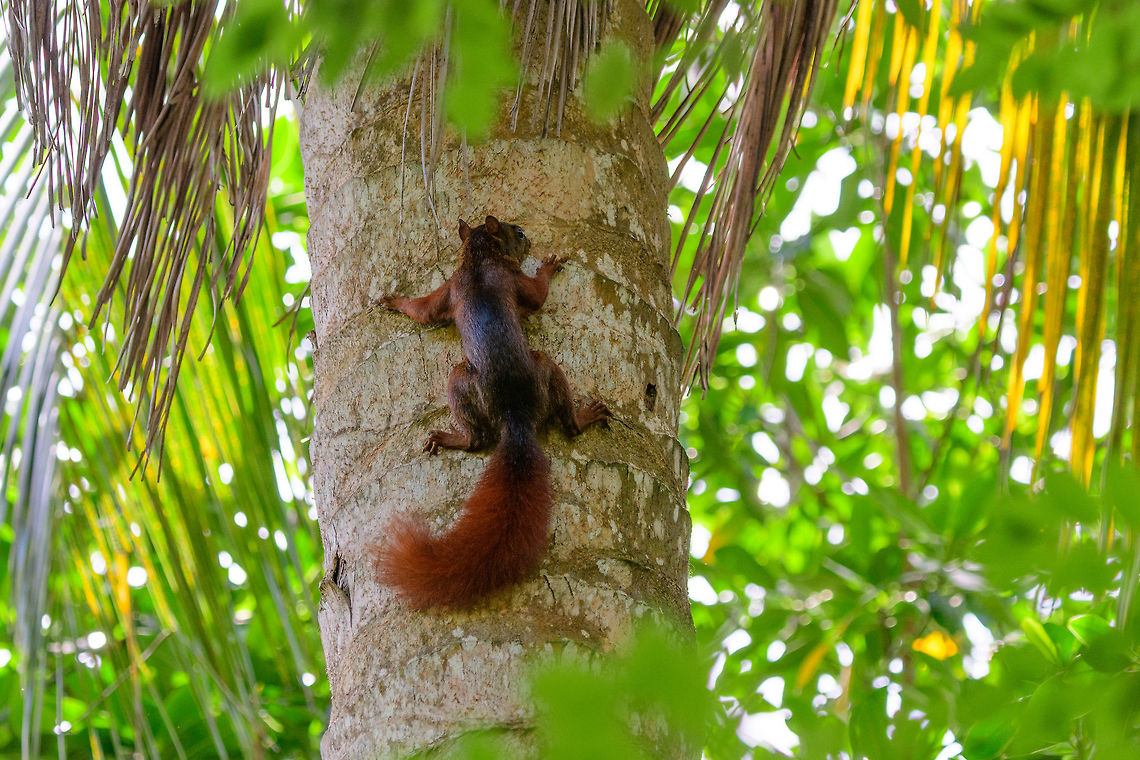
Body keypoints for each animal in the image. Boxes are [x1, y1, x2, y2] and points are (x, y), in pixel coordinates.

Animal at [375, 215, 611, 610]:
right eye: (518, 232)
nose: (529, 239)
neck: (480, 258)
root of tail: (515, 416)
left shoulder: (451, 285)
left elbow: (425, 309)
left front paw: (393, 300)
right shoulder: (493, 279)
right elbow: (536, 296)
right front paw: (549, 267)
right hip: (513, 372)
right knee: (500, 436)